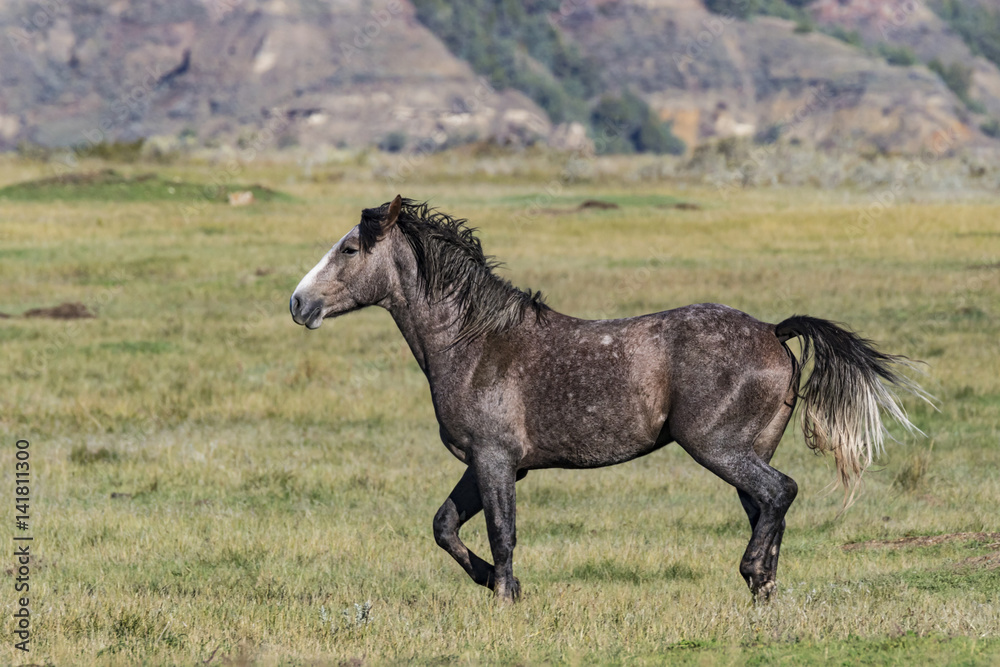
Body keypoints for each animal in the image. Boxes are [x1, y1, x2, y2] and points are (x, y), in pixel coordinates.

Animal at [289, 195, 928, 602]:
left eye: (349, 250)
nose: (298, 303)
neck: (473, 341)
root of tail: (775, 332)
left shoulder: (494, 460)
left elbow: (502, 532)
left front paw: (506, 595)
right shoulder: (489, 463)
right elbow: (445, 526)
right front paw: (497, 584)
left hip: (717, 448)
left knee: (781, 493)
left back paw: (752, 576)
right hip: (746, 452)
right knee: (769, 509)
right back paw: (763, 592)